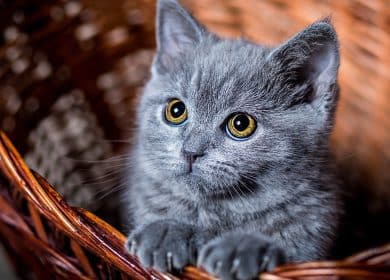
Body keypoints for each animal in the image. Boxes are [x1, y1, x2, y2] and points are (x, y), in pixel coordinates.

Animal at [125, 0, 342, 278]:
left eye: (241, 124)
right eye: (176, 110)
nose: (191, 151)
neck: (221, 212)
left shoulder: (312, 241)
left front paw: (241, 247)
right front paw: (165, 230)